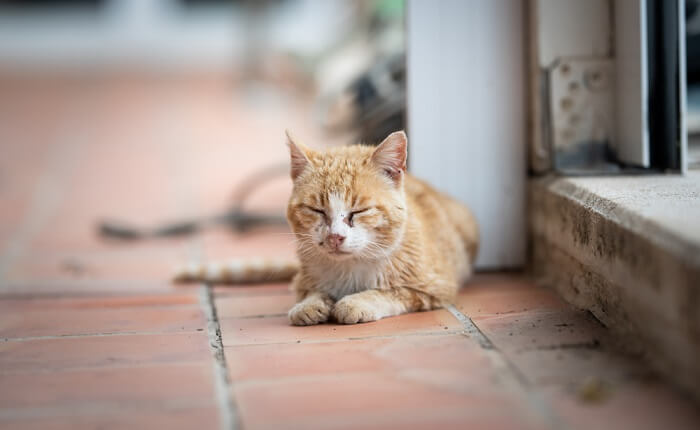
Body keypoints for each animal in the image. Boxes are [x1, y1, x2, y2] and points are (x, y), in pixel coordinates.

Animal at [178, 131, 478, 326]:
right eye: (317, 210)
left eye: (359, 212)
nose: (335, 237)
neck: (349, 270)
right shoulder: (302, 280)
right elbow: (311, 292)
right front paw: (310, 305)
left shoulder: (434, 288)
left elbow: (391, 293)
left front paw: (355, 303)